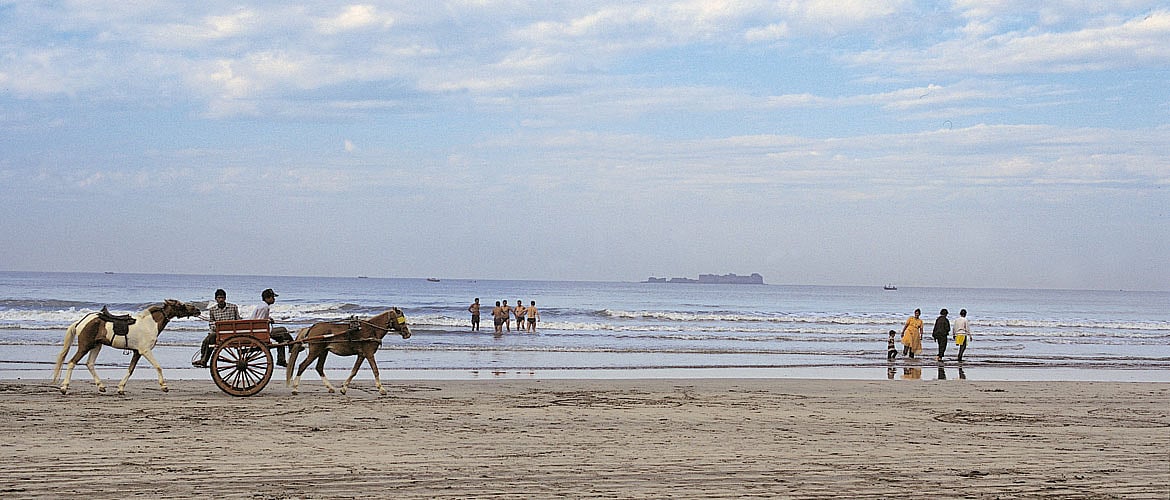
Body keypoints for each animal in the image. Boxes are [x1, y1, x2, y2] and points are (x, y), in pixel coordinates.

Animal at [51, 299, 202, 395]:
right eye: (181, 305)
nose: (198, 310)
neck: (150, 324)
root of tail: (81, 322)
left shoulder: (137, 352)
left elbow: (130, 369)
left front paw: (121, 388)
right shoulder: (145, 350)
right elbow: (158, 366)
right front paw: (164, 386)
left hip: (96, 346)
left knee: (90, 364)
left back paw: (101, 386)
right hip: (85, 345)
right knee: (72, 362)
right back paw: (64, 387)